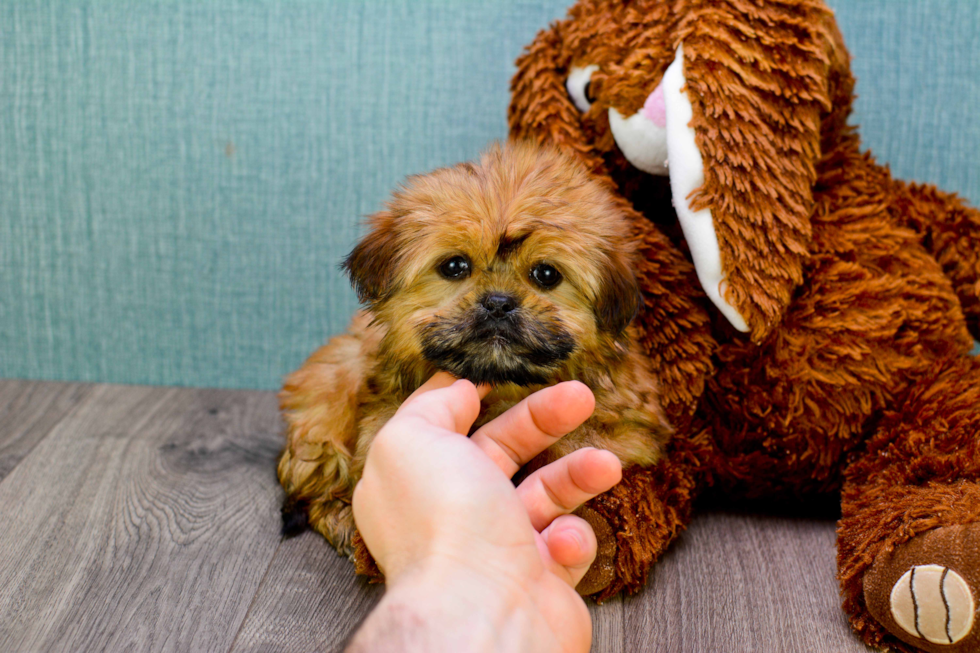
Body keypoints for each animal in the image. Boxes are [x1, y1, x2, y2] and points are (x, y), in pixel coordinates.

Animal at [278, 143, 672, 560]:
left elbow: (579, 441)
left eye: (547, 274)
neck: (505, 386)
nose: (498, 303)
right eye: (455, 266)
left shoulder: (634, 433)